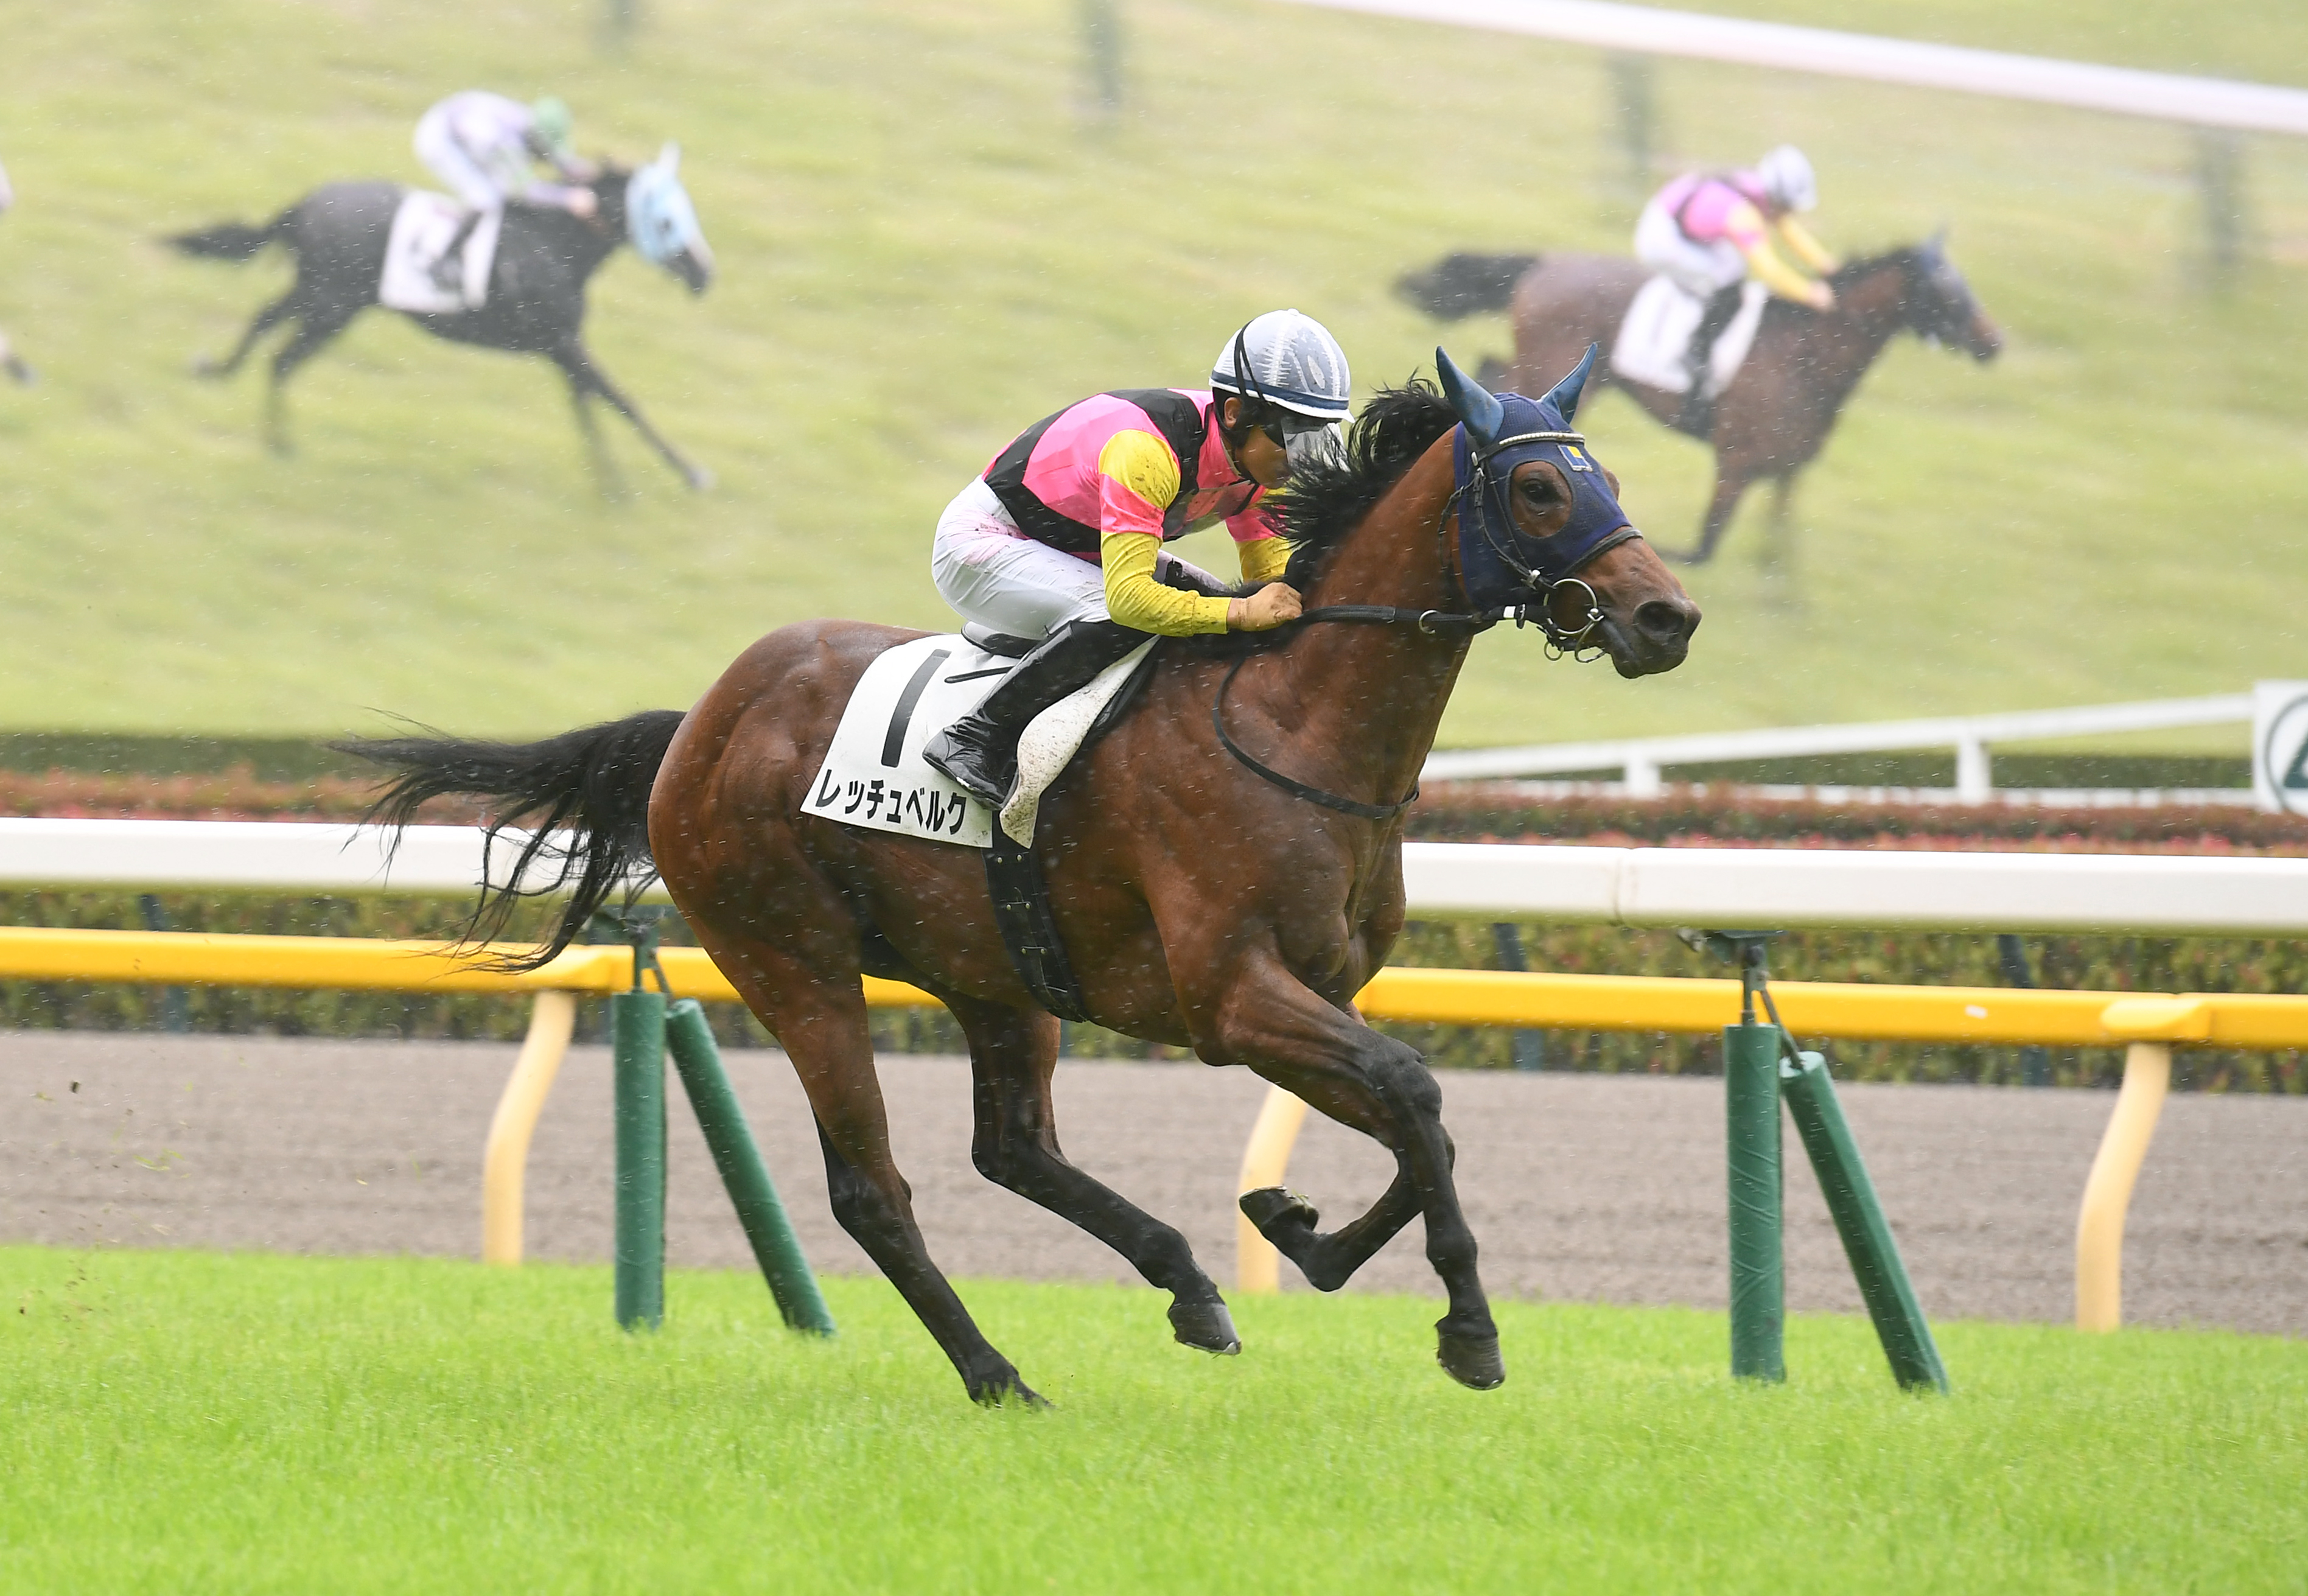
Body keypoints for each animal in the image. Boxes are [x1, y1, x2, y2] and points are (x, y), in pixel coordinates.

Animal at [167, 149, 715, 490]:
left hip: (316, 296)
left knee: (263, 322)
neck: (556, 243)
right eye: (667, 220)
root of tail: (303, 203)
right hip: (330, 308)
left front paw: (612, 488)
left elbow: (589, 408)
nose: (705, 272)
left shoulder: (562, 347)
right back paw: (280, 443)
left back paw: (218, 372)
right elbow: (620, 402)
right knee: (281, 359)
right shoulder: (561, 343)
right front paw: (690, 475)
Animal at [346, 351, 1702, 1405]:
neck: (1295, 724)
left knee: (1014, 1148)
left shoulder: (1319, 991)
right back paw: (998, 1373)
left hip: (993, 969)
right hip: (793, 963)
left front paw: (1296, 1232)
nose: (1666, 619)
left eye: (1608, 478)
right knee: (872, 1188)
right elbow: (1416, 1097)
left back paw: (1186, 1283)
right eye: (1537, 486)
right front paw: (1466, 1330)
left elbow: (1421, 1120)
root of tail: (698, 723)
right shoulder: (1231, 999)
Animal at [1396, 240, 2002, 565]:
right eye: (1950, 292)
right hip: (1554, 372)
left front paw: (1786, 609)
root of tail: (1544, 263)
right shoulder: (1737, 462)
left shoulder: (1786, 466)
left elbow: (1781, 543)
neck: (1806, 352)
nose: (1994, 341)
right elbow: (1704, 545)